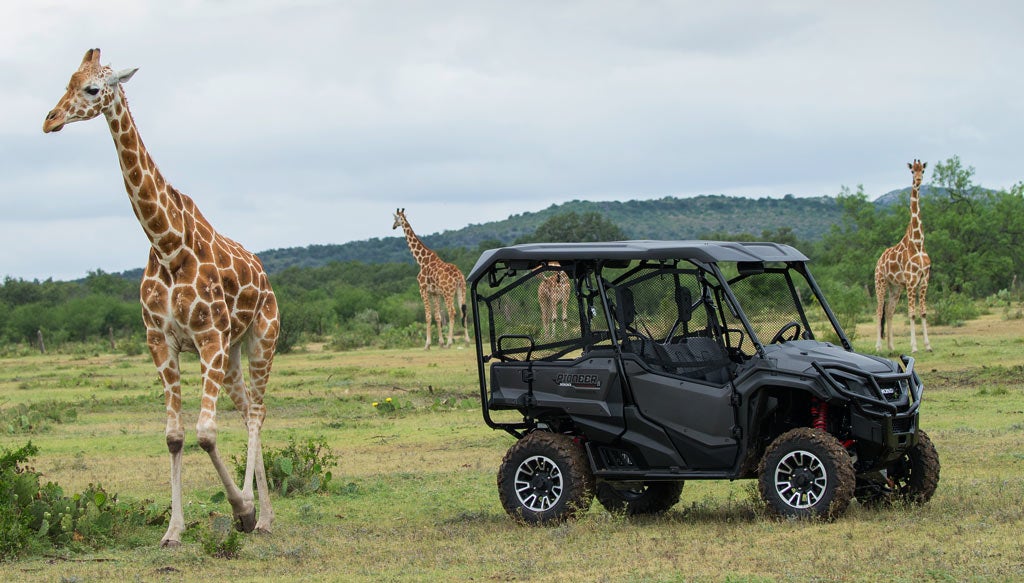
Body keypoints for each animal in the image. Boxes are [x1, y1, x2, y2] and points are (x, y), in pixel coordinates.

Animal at [43, 49, 278, 545]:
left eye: (93, 88)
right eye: (68, 79)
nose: (50, 120)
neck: (168, 245)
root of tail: (265, 275)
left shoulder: (208, 337)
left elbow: (205, 433)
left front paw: (241, 509)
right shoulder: (161, 341)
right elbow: (175, 436)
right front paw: (173, 531)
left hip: (260, 338)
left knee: (256, 413)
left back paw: (259, 515)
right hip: (231, 354)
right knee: (246, 410)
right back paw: (264, 515)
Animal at [391, 207, 471, 348]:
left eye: (396, 219)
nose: (393, 226)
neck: (421, 260)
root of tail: (459, 276)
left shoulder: (423, 290)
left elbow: (428, 316)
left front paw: (427, 344)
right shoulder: (435, 293)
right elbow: (437, 316)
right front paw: (440, 343)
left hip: (448, 292)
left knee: (452, 312)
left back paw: (450, 342)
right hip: (461, 290)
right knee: (463, 312)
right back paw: (467, 341)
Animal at [876, 156, 933, 352]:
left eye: (923, 170)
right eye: (912, 171)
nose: (918, 180)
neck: (918, 242)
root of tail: (879, 260)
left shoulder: (924, 280)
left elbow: (923, 312)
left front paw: (928, 346)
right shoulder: (911, 281)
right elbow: (911, 314)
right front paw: (914, 347)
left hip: (895, 287)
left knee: (889, 310)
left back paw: (891, 347)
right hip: (880, 282)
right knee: (879, 310)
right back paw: (878, 347)